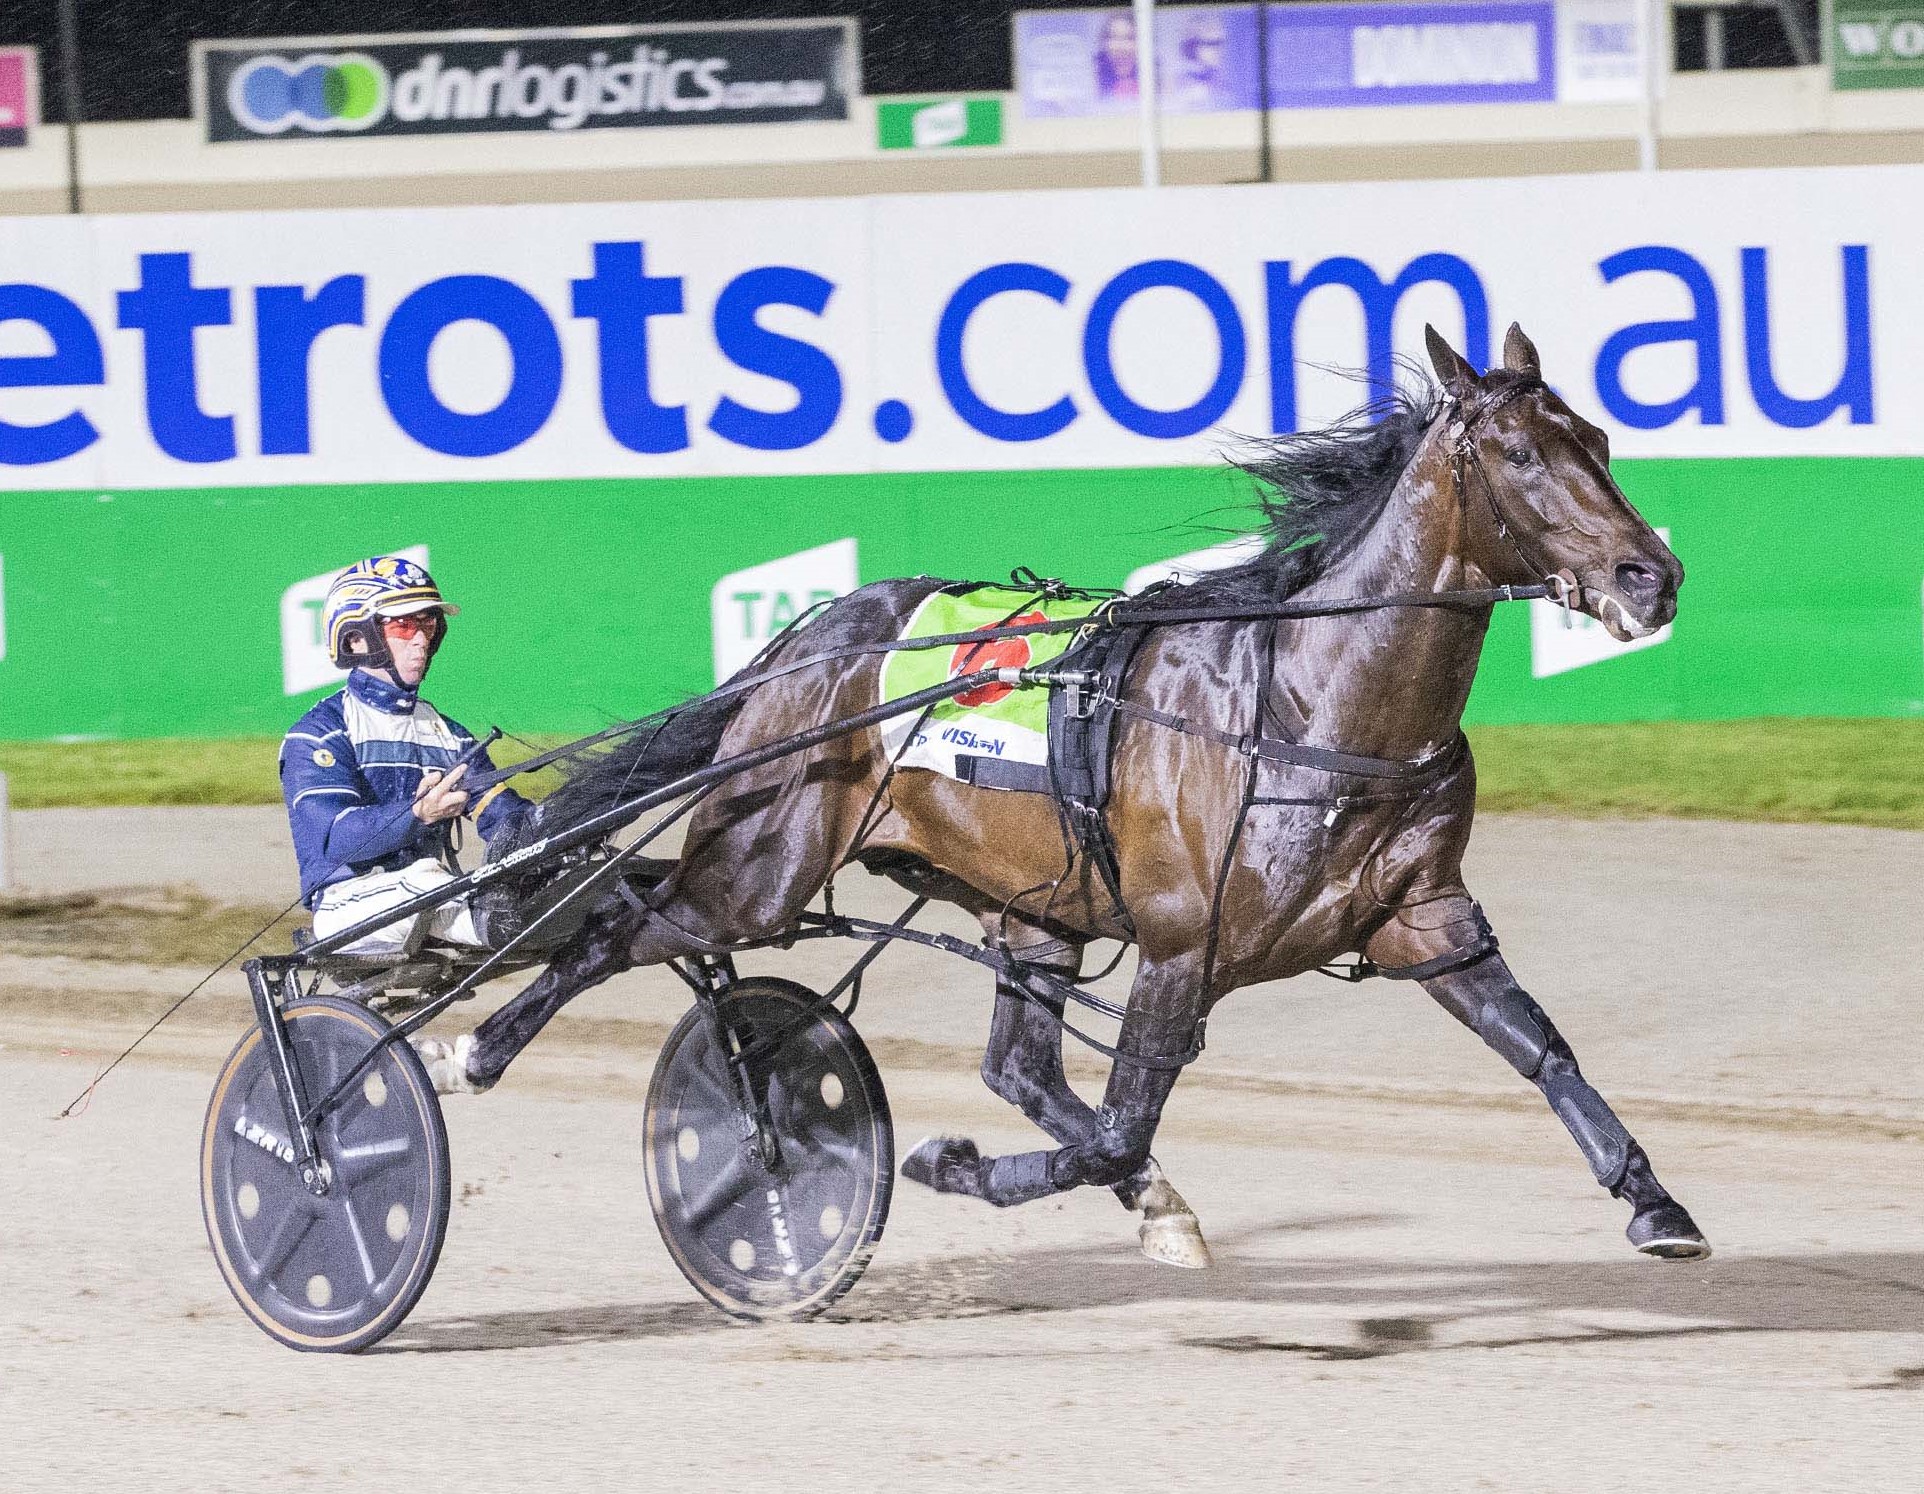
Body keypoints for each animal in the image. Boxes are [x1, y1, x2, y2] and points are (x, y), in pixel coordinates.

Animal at [465, 323, 1709, 1269]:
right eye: (1519, 453)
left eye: (1597, 438)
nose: (1651, 576)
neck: (1313, 703)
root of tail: (802, 646)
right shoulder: (1179, 946)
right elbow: (1114, 1129)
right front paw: (949, 1163)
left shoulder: (1426, 920)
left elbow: (1542, 1048)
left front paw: (1655, 1203)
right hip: (761, 868)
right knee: (622, 919)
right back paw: (479, 1046)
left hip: (1032, 906)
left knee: (1016, 1064)